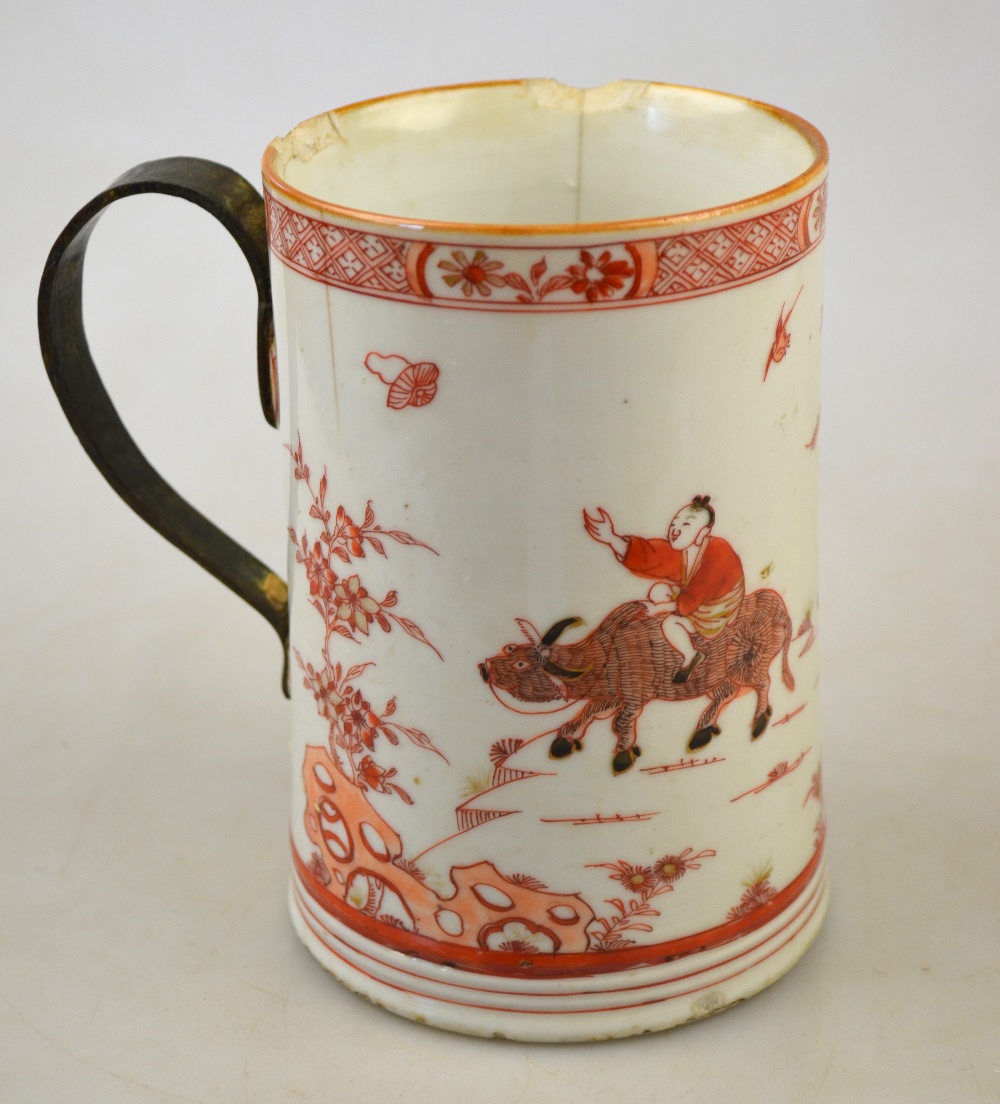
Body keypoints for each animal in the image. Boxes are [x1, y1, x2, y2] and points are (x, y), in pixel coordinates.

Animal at [476, 596, 794, 777]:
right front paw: (564, 740)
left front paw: (623, 755)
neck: (605, 656)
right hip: (715, 679)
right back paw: (701, 732)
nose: (485, 668)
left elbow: (620, 722)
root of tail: (776, 603)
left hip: (749, 664)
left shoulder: (633, 697)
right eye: (510, 648)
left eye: (521, 664)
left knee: (762, 684)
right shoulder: (610, 696)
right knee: (726, 694)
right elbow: (588, 714)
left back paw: (758, 722)